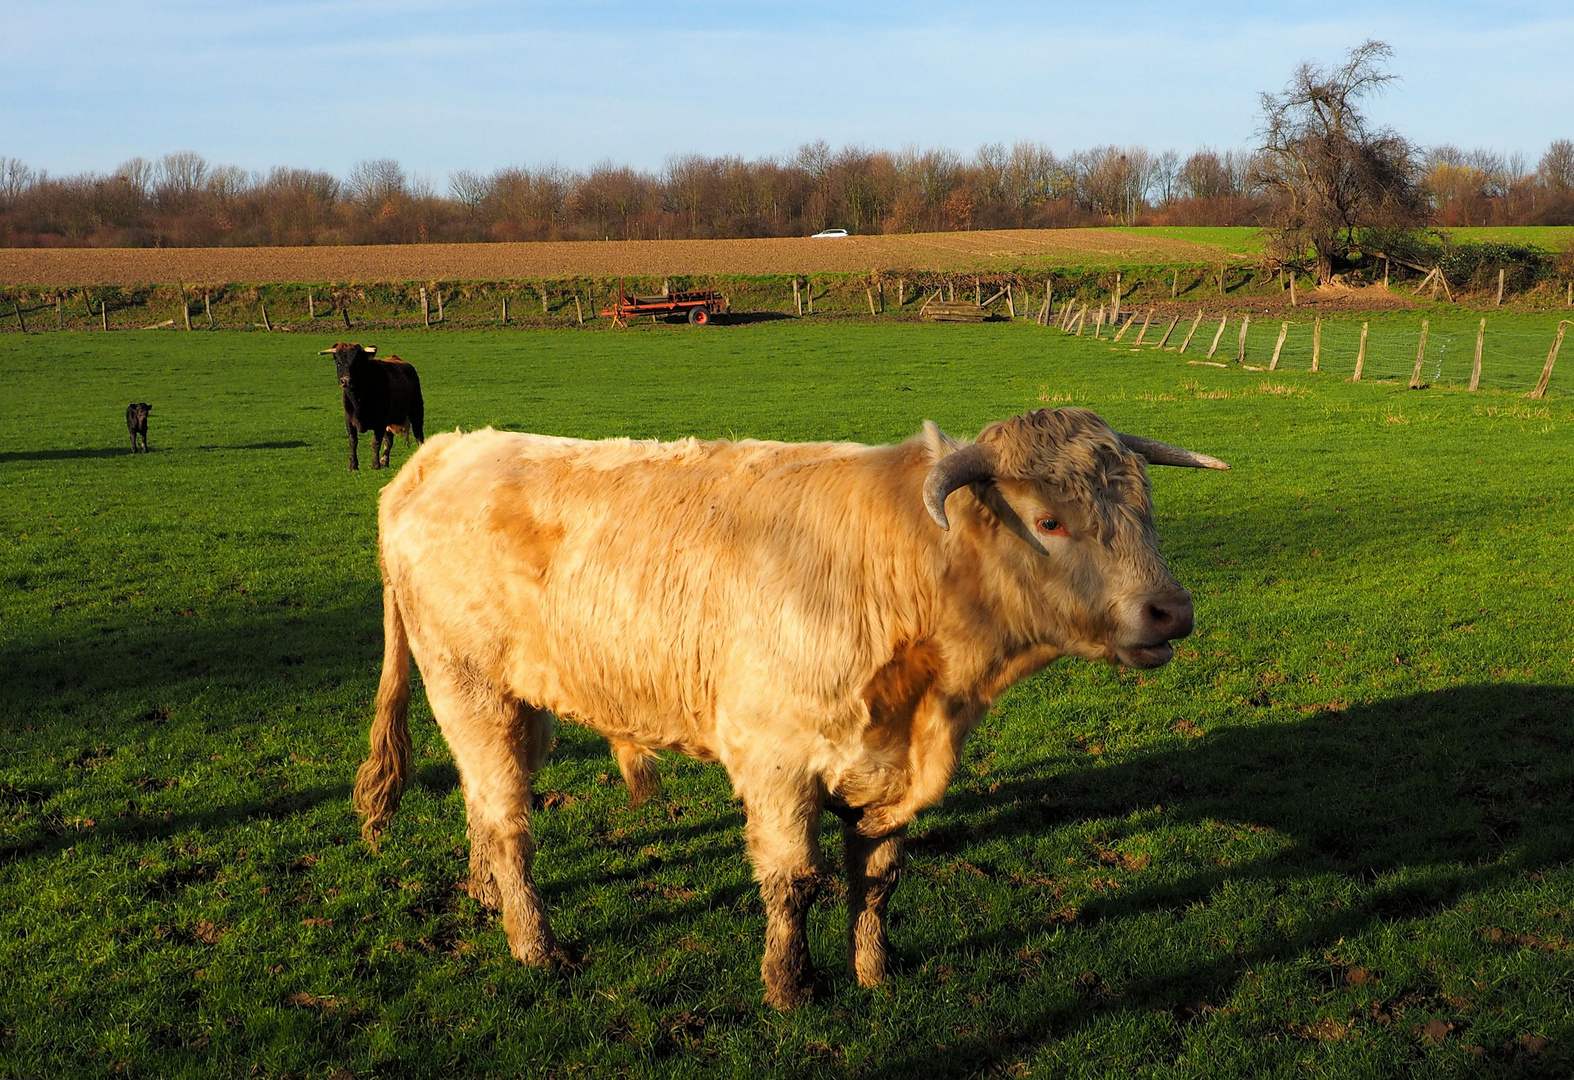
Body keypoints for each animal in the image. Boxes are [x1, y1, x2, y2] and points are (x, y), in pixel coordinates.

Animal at [357, 409, 1227, 1013]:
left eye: (1145, 511)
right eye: (1049, 520)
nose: (1172, 610)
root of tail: (445, 452)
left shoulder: (884, 769)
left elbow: (876, 877)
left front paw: (875, 971)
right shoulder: (776, 762)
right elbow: (794, 881)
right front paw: (790, 986)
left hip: (520, 702)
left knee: (482, 801)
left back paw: (485, 897)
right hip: (469, 689)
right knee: (508, 819)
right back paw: (534, 944)